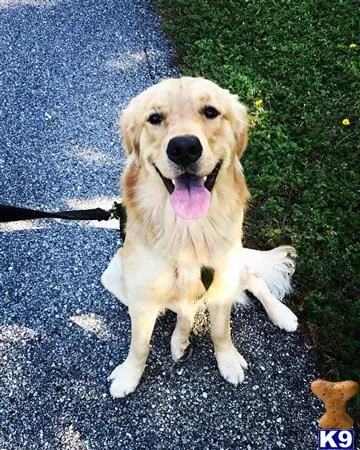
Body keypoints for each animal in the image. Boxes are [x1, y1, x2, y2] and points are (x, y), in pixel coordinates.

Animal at [101, 76, 298, 398]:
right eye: (154, 118)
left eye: (210, 112)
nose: (184, 147)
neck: (188, 231)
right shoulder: (141, 298)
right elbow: (139, 345)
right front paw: (130, 375)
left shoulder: (223, 282)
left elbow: (221, 331)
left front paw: (228, 359)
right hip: (114, 276)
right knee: (186, 307)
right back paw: (179, 340)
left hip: (234, 266)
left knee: (253, 280)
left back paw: (281, 314)